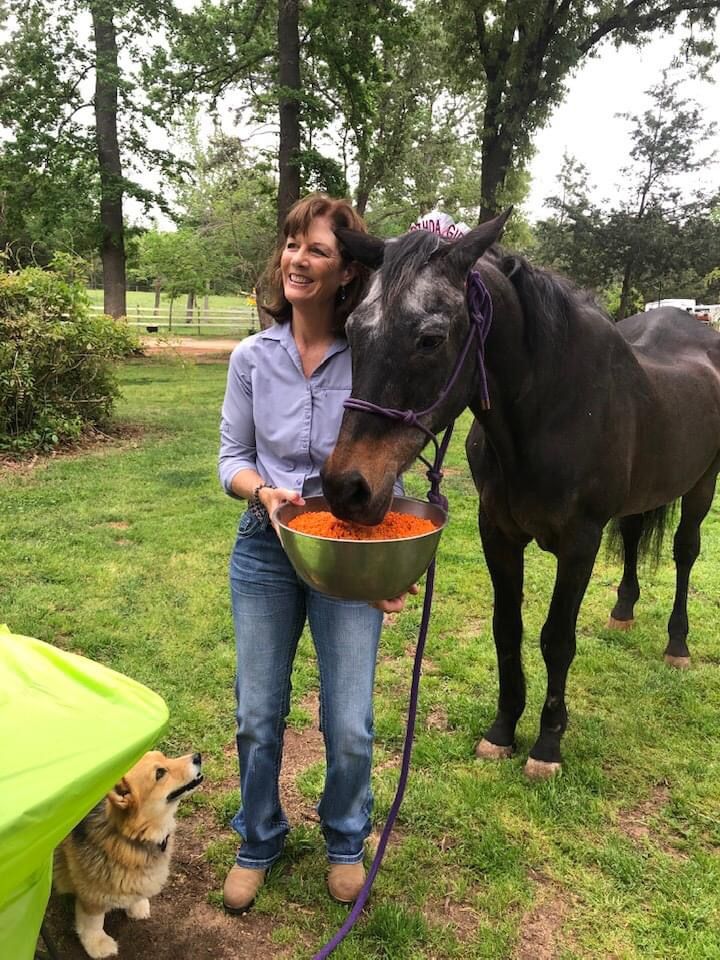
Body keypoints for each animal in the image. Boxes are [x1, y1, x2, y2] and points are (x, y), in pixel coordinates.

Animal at [320, 211, 720, 779]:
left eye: (430, 339)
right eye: (353, 329)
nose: (346, 488)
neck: (551, 409)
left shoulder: (580, 543)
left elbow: (556, 638)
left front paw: (548, 744)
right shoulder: (498, 533)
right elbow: (506, 629)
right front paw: (503, 730)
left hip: (702, 485)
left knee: (686, 553)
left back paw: (677, 643)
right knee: (635, 534)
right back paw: (623, 611)